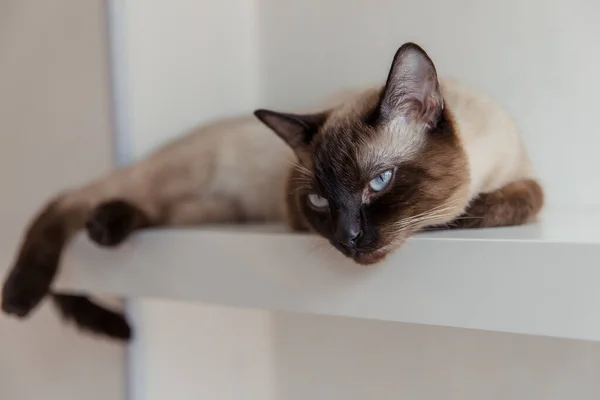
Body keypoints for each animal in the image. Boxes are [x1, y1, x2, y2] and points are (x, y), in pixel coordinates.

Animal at [0, 43, 544, 340]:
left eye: (378, 183)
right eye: (320, 201)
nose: (348, 238)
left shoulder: (526, 178)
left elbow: (522, 199)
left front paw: (469, 210)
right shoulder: (289, 206)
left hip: (207, 210)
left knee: (143, 210)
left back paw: (107, 225)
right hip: (177, 180)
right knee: (66, 200)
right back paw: (21, 293)